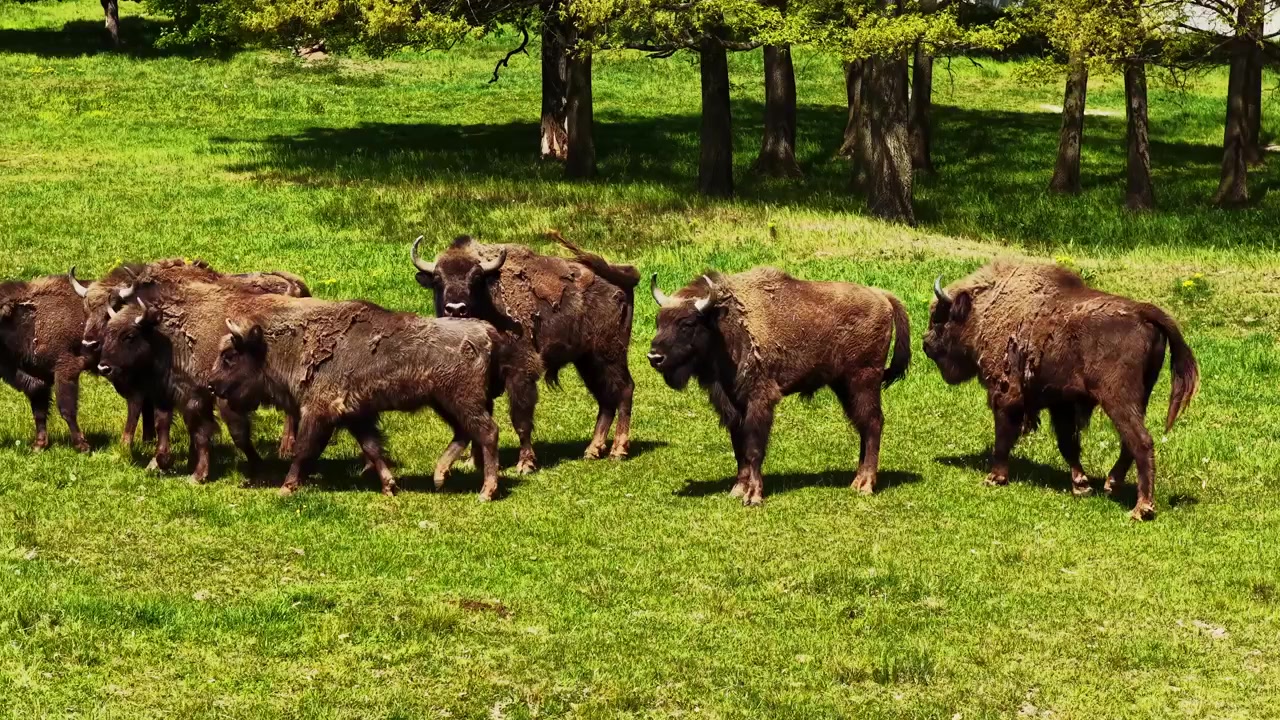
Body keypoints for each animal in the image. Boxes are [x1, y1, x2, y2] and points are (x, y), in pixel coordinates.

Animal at [208, 291, 507, 499]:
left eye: (230, 356)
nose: (211, 384)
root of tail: (485, 331)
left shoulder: (318, 412)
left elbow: (304, 450)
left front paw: (286, 487)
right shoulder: (356, 416)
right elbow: (372, 448)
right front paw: (389, 486)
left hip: (462, 401)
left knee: (488, 432)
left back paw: (486, 491)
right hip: (444, 403)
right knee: (465, 432)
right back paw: (439, 477)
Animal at [410, 232, 639, 472]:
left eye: (476, 278)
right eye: (437, 279)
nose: (456, 309)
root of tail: (623, 276)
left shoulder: (520, 372)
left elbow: (520, 420)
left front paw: (525, 464)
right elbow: (480, 419)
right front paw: (473, 463)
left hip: (610, 356)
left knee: (624, 390)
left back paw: (618, 451)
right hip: (587, 362)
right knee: (605, 398)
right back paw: (592, 450)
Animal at [648, 268, 911, 506]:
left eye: (687, 323)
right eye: (658, 321)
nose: (654, 356)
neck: (726, 325)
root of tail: (882, 296)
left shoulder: (760, 401)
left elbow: (754, 449)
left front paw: (753, 496)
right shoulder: (733, 405)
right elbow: (739, 449)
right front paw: (738, 489)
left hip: (863, 382)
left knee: (873, 424)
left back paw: (865, 485)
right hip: (845, 387)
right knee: (863, 427)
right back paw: (856, 481)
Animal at [923, 262, 1199, 520]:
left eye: (939, 318)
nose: (926, 344)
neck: (983, 310)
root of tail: (1143, 312)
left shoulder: (1006, 394)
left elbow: (1003, 436)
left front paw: (995, 477)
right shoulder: (1061, 402)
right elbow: (1068, 444)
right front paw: (1081, 485)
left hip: (1118, 399)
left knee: (1141, 441)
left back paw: (1141, 508)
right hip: (1140, 397)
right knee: (1129, 442)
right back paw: (1111, 484)